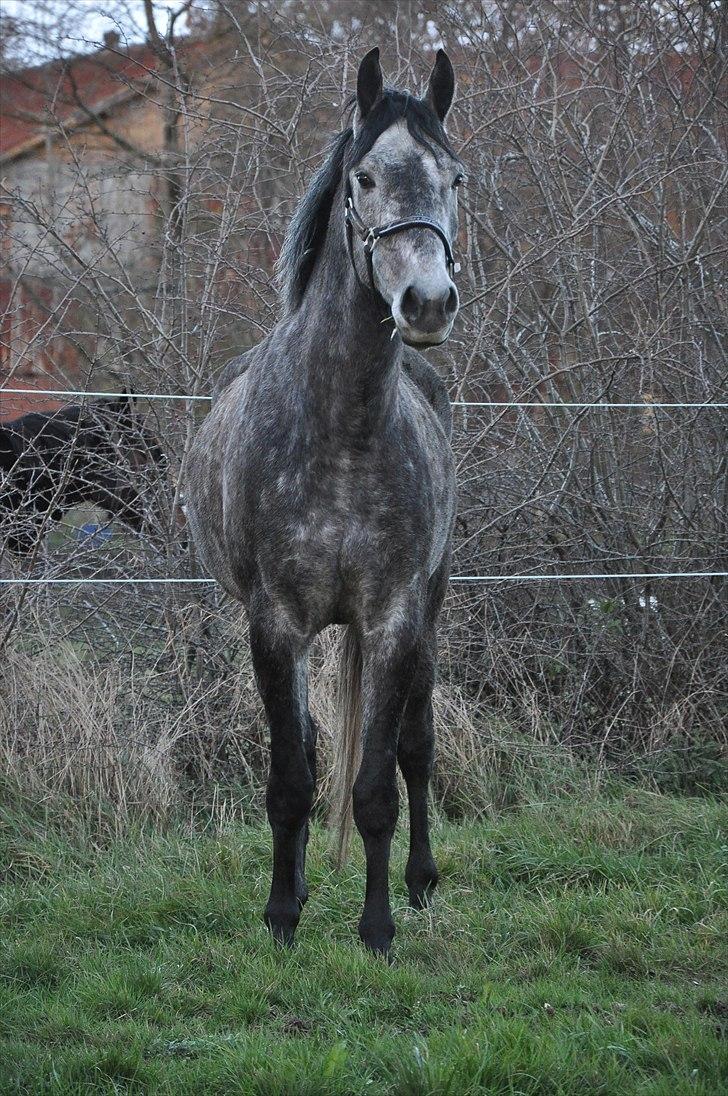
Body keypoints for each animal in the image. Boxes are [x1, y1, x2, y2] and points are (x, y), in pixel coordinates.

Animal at [185, 47, 462, 955]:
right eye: (365, 178)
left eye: (453, 177)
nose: (428, 304)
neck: (343, 430)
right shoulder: (275, 624)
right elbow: (291, 779)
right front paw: (281, 914)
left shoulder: (394, 617)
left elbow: (374, 785)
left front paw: (376, 928)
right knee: (306, 750)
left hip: (430, 611)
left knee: (416, 747)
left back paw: (419, 881)